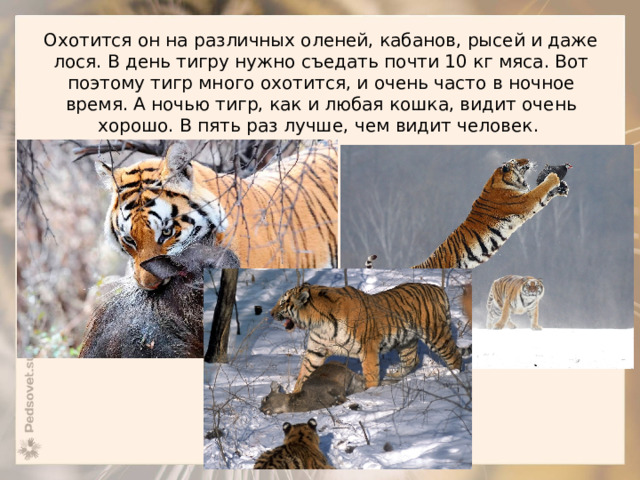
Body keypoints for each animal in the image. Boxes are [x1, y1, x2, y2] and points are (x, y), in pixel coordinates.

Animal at [270, 281, 470, 392]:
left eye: (283, 302)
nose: (271, 313)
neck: (318, 323)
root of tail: (437, 288)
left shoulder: (368, 348)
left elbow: (371, 373)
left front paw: (370, 392)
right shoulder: (316, 350)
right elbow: (304, 373)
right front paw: (295, 395)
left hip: (435, 334)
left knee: (455, 356)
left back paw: (454, 377)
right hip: (406, 340)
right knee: (412, 360)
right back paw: (394, 376)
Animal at [412, 158, 569, 269]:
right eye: (517, 162)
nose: (528, 160)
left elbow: (544, 196)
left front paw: (562, 188)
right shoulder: (524, 201)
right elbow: (540, 190)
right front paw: (553, 177)